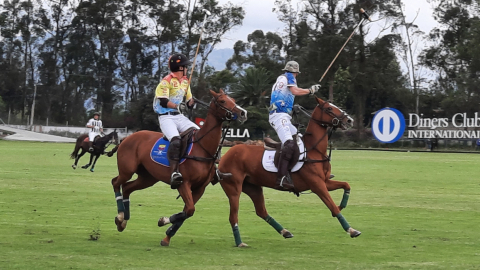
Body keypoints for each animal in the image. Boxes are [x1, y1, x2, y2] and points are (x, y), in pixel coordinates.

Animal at [111, 89, 248, 246]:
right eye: (222, 101)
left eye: (233, 99)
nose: (243, 113)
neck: (202, 148)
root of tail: (125, 138)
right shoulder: (183, 184)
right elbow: (189, 210)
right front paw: (163, 221)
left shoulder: (200, 188)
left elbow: (187, 212)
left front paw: (166, 237)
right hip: (127, 170)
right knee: (116, 182)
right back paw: (120, 217)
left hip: (148, 178)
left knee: (127, 187)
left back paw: (123, 221)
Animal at [218, 96, 360, 247]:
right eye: (329, 108)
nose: (349, 120)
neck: (314, 150)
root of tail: (225, 156)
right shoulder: (317, 185)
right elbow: (332, 206)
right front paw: (351, 230)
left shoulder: (325, 181)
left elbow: (346, 185)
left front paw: (342, 205)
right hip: (234, 189)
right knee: (233, 216)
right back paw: (240, 242)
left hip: (253, 187)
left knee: (261, 211)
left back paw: (285, 232)